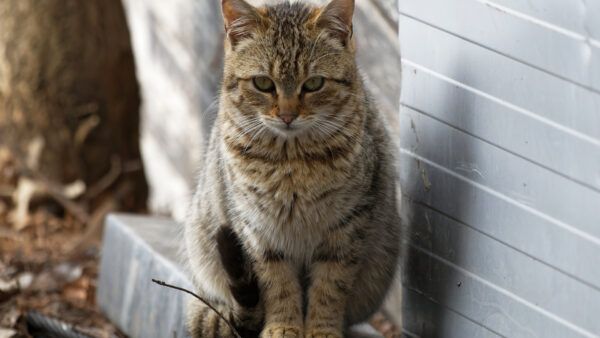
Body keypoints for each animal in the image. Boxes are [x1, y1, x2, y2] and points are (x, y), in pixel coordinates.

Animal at [182, 0, 398, 336]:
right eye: (263, 83)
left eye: (313, 83)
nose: (287, 116)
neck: (291, 162)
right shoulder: (257, 232)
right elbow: (278, 286)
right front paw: (283, 326)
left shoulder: (347, 228)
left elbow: (330, 286)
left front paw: (322, 329)